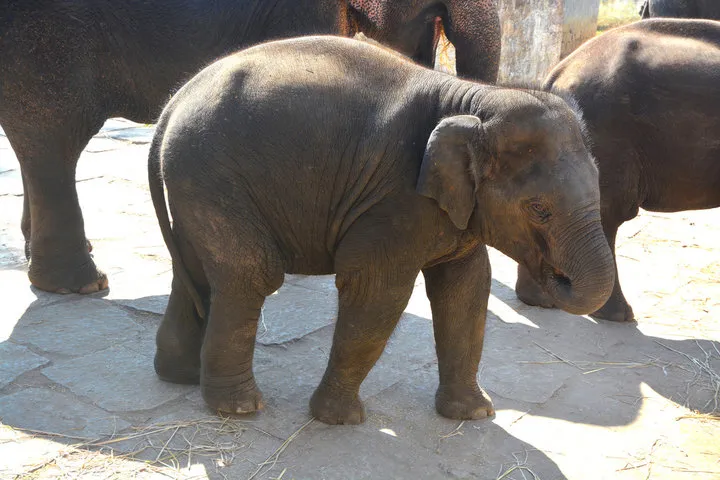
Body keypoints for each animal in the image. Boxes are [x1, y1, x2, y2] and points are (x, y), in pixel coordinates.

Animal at [148, 35, 615, 424]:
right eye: (539, 209)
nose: (554, 279)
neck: (475, 98)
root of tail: (173, 103)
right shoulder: (396, 198)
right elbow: (378, 291)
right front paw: (339, 421)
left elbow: (466, 288)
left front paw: (475, 415)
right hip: (210, 173)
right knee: (251, 274)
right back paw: (239, 408)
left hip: (194, 181)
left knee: (195, 270)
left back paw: (180, 376)